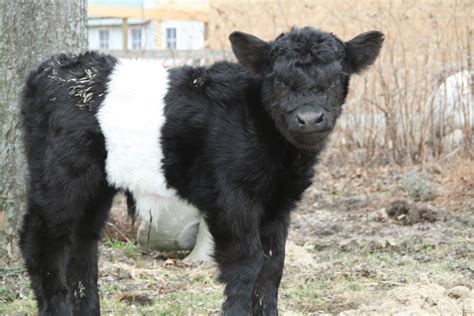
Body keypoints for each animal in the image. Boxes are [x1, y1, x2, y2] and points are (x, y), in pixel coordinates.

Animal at [18, 27, 384, 316]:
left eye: (336, 78)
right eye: (278, 80)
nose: (309, 118)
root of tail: (50, 68)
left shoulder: (278, 203)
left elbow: (273, 265)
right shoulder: (231, 199)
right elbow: (247, 263)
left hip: (96, 185)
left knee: (82, 243)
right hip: (59, 175)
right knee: (43, 241)